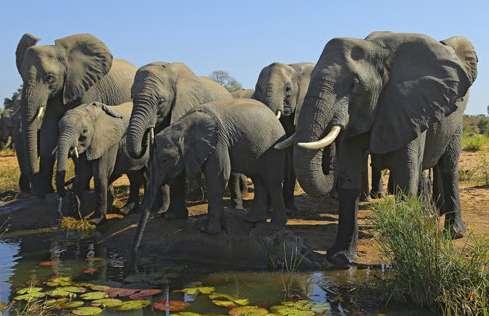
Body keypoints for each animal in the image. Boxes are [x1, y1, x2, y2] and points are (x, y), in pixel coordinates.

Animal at [15, 32, 135, 195]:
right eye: (22, 77)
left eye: (49, 78)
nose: (35, 187)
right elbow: (48, 132)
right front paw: (45, 192)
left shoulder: (89, 88)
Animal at [132, 97, 288, 248]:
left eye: (165, 160)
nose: (136, 251)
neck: (183, 127)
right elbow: (181, 176)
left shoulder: (218, 141)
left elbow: (218, 177)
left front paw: (209, 231)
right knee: (258, 179)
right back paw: (251, 219)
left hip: (274, 147)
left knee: (272, 182)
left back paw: (275, 225)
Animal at [278, 32, 476, 266]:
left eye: (354, 85)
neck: (375, 50)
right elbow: (349, 176)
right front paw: (341, 258)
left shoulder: (406, 106)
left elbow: (405, 177)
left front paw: (406, 255)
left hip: (455, 122)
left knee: (447, 167)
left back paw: (453, 233)